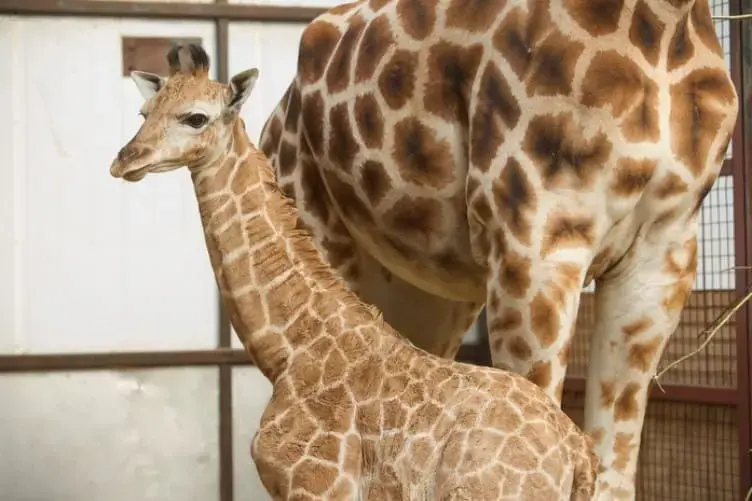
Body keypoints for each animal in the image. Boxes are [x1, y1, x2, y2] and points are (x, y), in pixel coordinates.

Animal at [108, 44, 600, 501]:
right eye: (144, 112)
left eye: (196, 118)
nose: (124, 161)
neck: (287, 351)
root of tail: (578, 454)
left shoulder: (318, 486)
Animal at [257, 0, 739, 498]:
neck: (665, 25)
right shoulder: (535, 235)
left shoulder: (663, 249)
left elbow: (614, 462)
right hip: (319, 233)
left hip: (424, 295)